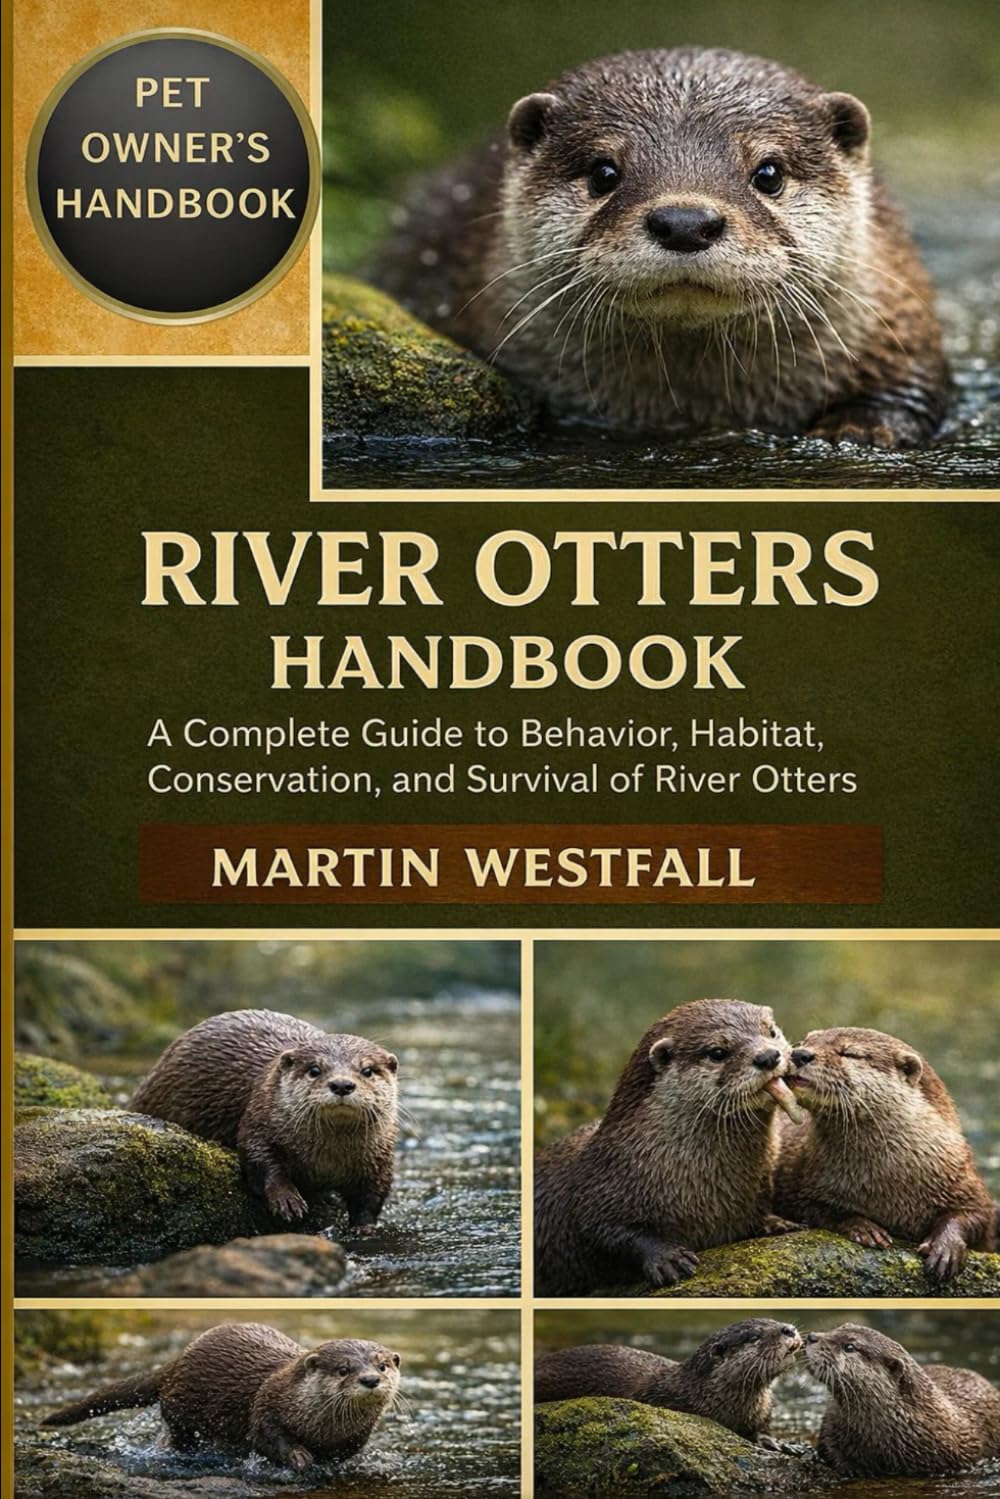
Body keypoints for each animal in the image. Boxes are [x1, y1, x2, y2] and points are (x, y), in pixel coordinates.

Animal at [43, 1322, 402, 1472]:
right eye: (343, 1369)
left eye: (382, 1365)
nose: (370, 1379)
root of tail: (178, 1360)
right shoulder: (267, 1406)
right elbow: (268, 1438)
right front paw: (300, 1457)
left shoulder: (356, 1436)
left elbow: (343, 1455)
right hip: (181, 1411)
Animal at [131, 1010, 399, 1231]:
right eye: (314, 1070)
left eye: (367, 1070)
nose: (342, 1084)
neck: (328, 1159)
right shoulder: (259, 1121)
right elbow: (260, 1159)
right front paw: (287, 1200)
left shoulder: (379, 1157)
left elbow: (373, 1194)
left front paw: (364, 1227)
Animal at [534, 999, 803, 1295]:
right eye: (717, 1052)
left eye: (771, 1032)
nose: (768, 1056)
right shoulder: (597, 1194)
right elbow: (605, 1231)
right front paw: (667, 1258)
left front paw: (775, 1223)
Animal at [775, 1026, 996, 1281]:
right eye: (806, 1041)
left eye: (850, 1053)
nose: (799, 1054)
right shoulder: (801, 1177)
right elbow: (815, 1209)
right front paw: (863, 1226)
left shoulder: (964, 1178)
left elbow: (976, 1215)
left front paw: (945, 1248)